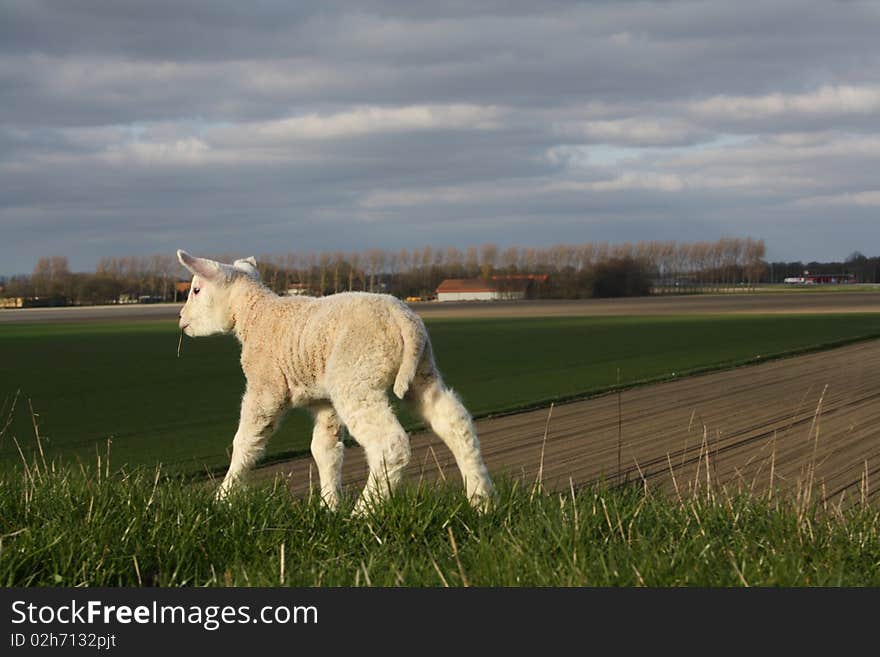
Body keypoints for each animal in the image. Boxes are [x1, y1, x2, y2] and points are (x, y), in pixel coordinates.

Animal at [176, 250, 498, 512]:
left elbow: (245, 442)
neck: (256, 316)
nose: (180, 319)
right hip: (421, 373)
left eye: (196, 289)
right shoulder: (323, 402)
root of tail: (402, 318)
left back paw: (364, 513)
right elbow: (325, 451)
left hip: (356, 376)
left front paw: (223, 497)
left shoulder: (266, 387)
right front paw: (329, 506)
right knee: (456, 423)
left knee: (389, 444)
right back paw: (481, 500)